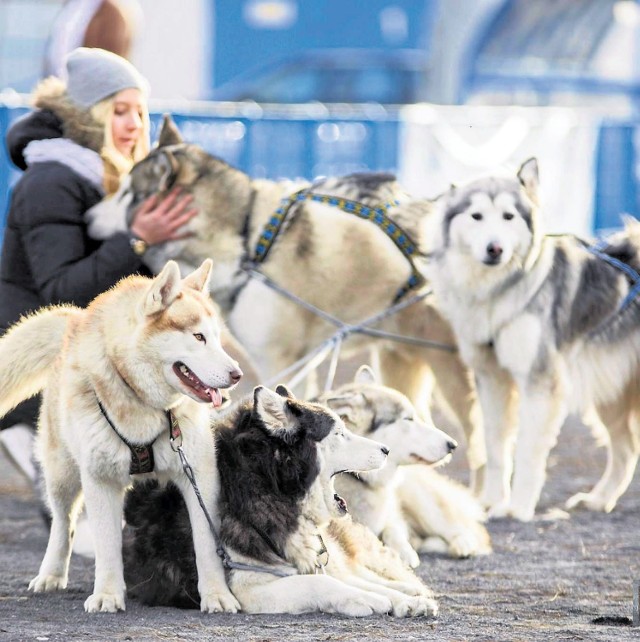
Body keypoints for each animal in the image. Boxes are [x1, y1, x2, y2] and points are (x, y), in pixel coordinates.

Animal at [0, 258, 244, 608]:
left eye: (217, 337)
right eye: (198, 337)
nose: (237, 374)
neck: (144, 404)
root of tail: (73, 323)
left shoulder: (199, 474)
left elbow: (207, 545)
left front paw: (216, 595)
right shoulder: (100, 479)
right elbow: (106, 546)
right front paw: (106, 595)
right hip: (62, 474)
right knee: (63, 523)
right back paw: (51, 574)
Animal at [85, 114, 484, 484]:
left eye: (127, 194)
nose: (87, 216)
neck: (247, 239)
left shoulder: (279, 358)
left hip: (454, 368)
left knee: (482, 444)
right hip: (399, 360)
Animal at [122, 384, 438, 616]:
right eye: (339, 433)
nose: (386, 449)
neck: (263, 485)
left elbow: (333, 579)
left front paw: (395, 599)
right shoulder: (248, 588)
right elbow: (318, 582)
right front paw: (365, 600)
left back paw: (410, 596)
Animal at [322, 364, 492, 564]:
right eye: (408, 419)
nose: (453, 445)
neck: (358, 478)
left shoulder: (394, 519)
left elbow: (393, 531)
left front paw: (405, 553)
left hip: (424, 506)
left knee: (463, 529)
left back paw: (462, 545)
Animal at [422, 159, 640, 520]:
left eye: (508, 217)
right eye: (476, 216)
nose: (495, 249)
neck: (498, 291)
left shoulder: (540, 381)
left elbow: (526, 450)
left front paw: (519, 508)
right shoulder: (491, 378)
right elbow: (496, 447)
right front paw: (491, 503)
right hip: (611, 392)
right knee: (626, 449)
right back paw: (598, 500)